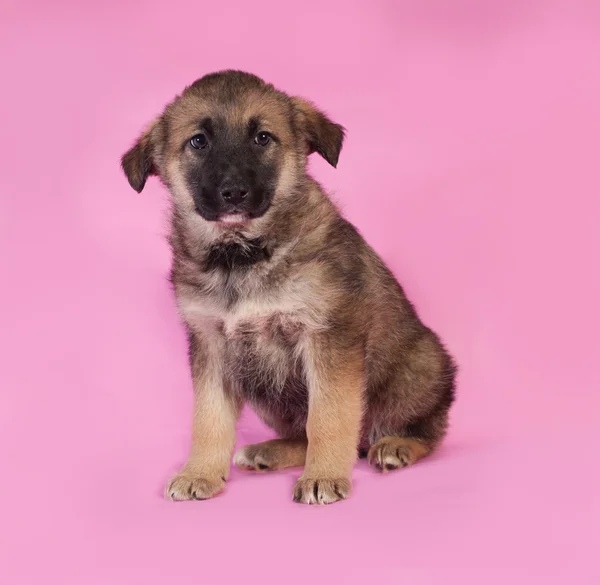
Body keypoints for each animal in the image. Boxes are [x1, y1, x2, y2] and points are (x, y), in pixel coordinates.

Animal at [123, 70, 460, 504]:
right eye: (198, 141)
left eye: (262, 137)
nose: (234, 193)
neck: (243, 256)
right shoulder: (211, 346)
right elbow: (209, 418)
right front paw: (199, 472)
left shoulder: (327, 336)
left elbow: (329, 416)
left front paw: (323, 476)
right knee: (303, 432)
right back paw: (270, 452)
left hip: (420, 366)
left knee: (425, 429)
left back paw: (396, 445)